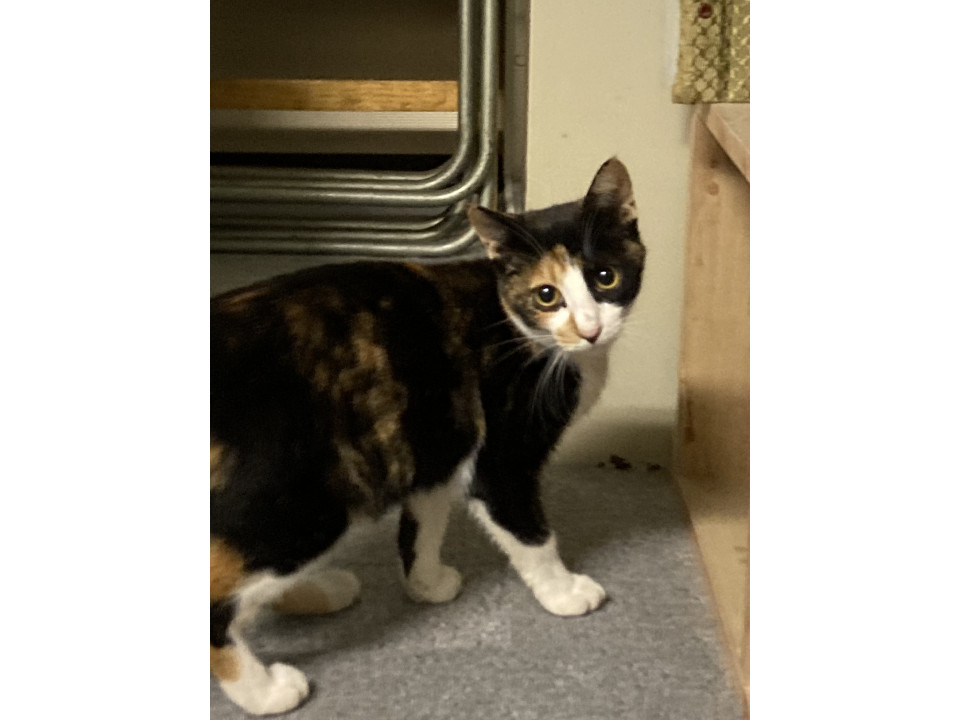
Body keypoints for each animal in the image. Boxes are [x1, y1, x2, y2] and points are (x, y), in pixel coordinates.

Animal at [210, 157, 646, 715]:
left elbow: (423, 524)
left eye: (605, 277)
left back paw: (318, 592)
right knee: (219, 601)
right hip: (301, 500)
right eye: (547, 295)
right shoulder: (501, 457)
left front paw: (427, 583)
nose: (590, 330)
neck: (519, 328)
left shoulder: (436, 440)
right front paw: (563, 591)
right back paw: (266, 692)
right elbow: (532, 535)